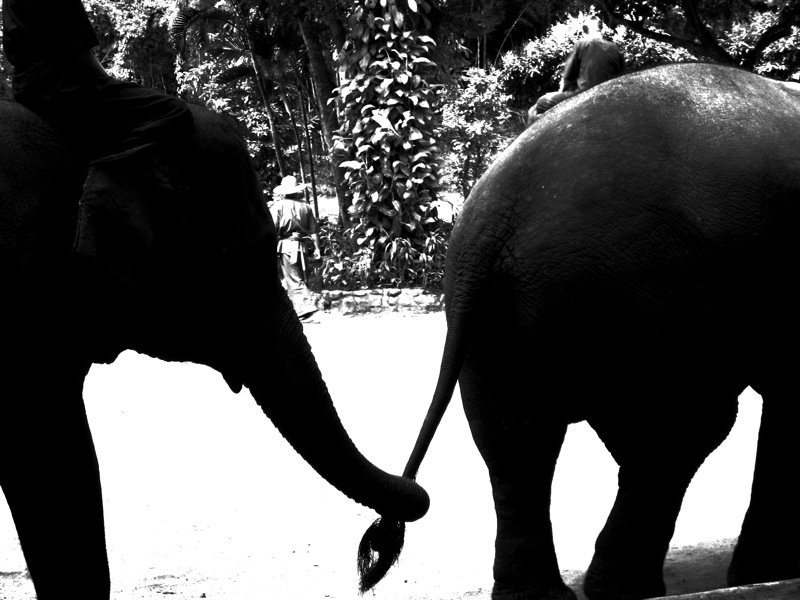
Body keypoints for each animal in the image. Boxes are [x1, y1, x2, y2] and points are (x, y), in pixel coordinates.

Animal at [357, 63, 800, 600]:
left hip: (498, 313)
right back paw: (628, 588)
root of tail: (497, 213)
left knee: (513, 432)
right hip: (649, 287)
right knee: (687, 425)